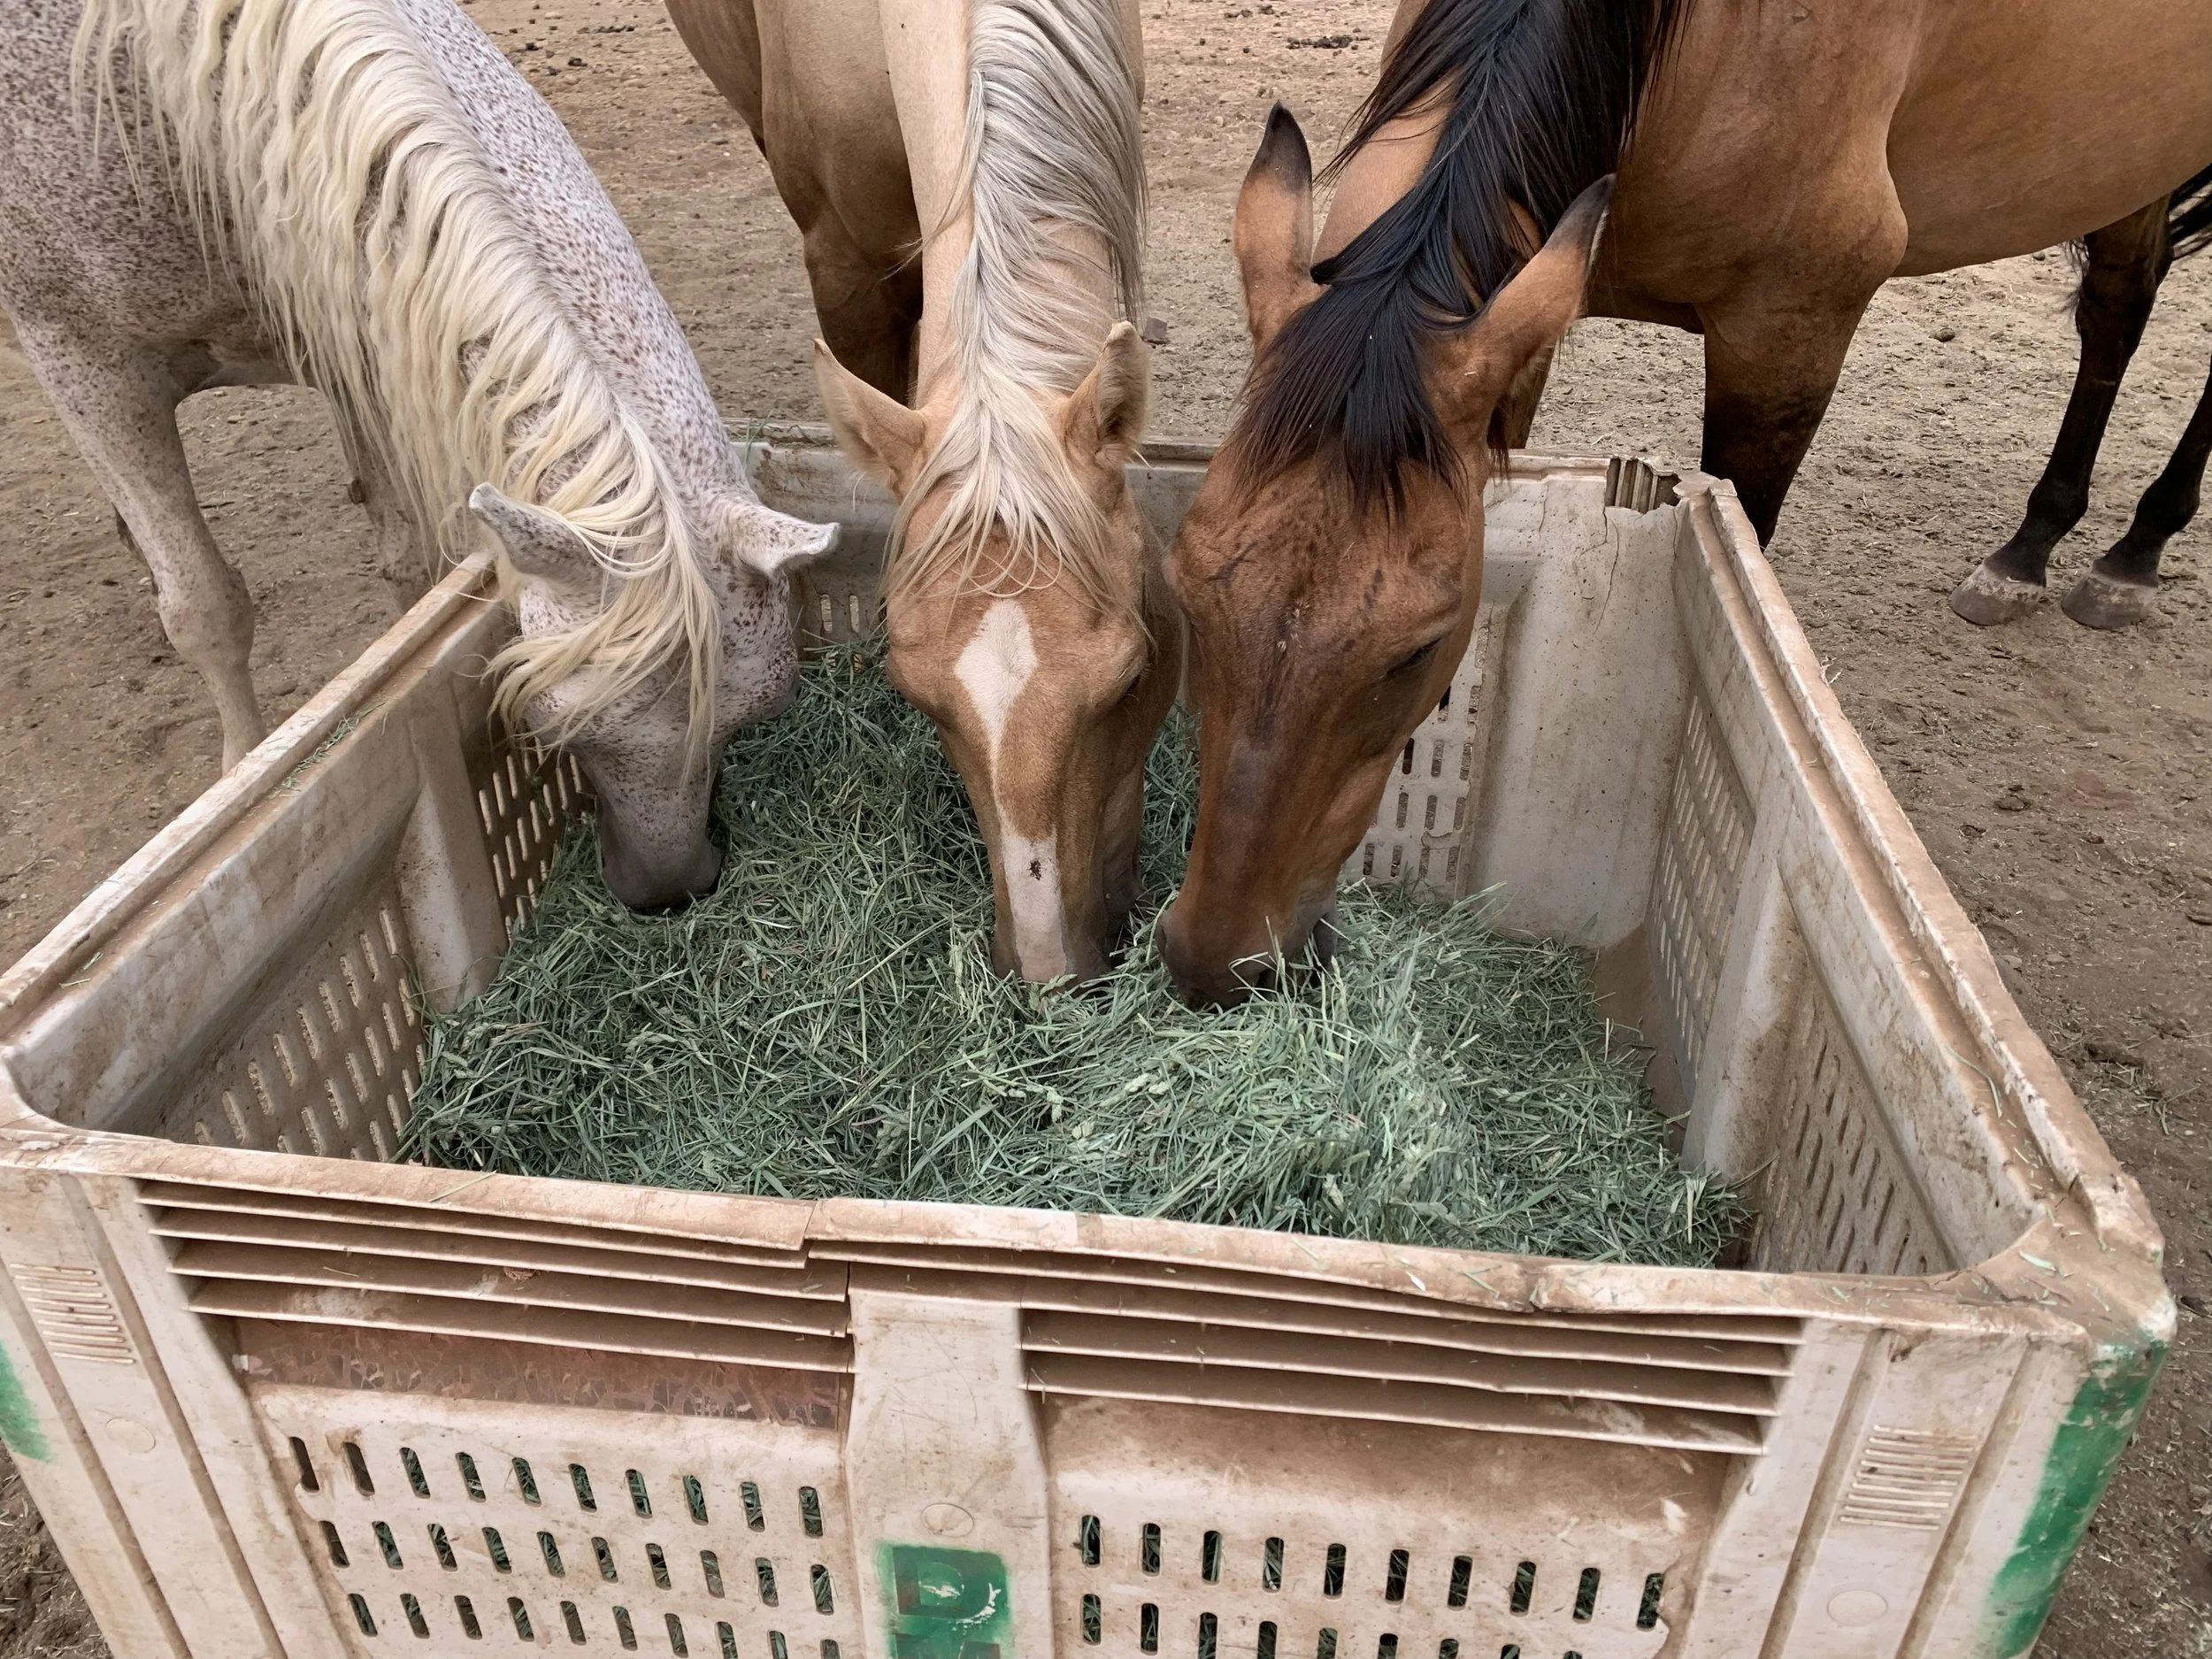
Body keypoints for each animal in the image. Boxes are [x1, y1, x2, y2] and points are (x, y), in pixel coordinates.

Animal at [1, 0, 835, 912]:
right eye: (563, 723)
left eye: (752, 716)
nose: (671, 893)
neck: (190, 121)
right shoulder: (86, 362)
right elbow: (205, 608)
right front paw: (240, 781)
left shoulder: (357, 339)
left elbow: (405, 569)